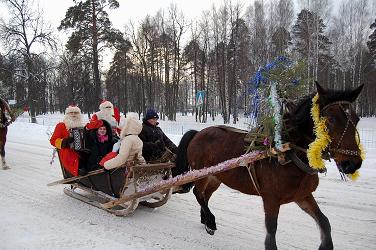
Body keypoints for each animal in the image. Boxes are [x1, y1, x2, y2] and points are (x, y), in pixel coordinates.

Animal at [176, 82, 364, 250]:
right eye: (330, 120)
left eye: (357, 119)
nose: (352, 164)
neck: (288, 152)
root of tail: (198, 133)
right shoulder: (271, 199)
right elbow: (271, 234)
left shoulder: (302, 195)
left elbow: (324, 222)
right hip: (201, 173)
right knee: (198, 193)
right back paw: (210, 220)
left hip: (217, 176)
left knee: (205, 196)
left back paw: (206, 221)